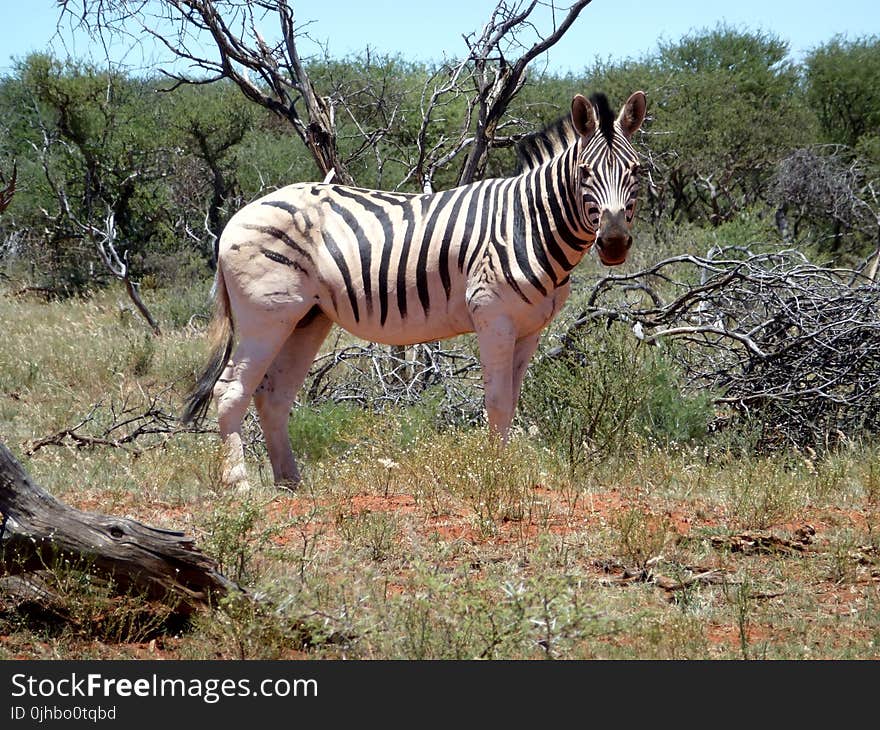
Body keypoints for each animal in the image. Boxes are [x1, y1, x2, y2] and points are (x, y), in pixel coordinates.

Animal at [180, 91, 648, 490]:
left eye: (636, 171)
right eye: (585, 172)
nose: (614, 243)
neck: (527, 222)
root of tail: (236, 218)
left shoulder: (530, 327)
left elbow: (513, 401)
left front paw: (506, 466)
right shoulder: (492, 315)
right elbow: (497, 400)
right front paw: (497, 474)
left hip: (306, 318)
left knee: (273, 395)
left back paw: (290, 482)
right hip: (264, 318)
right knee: (230, 390)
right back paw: (239, 485)